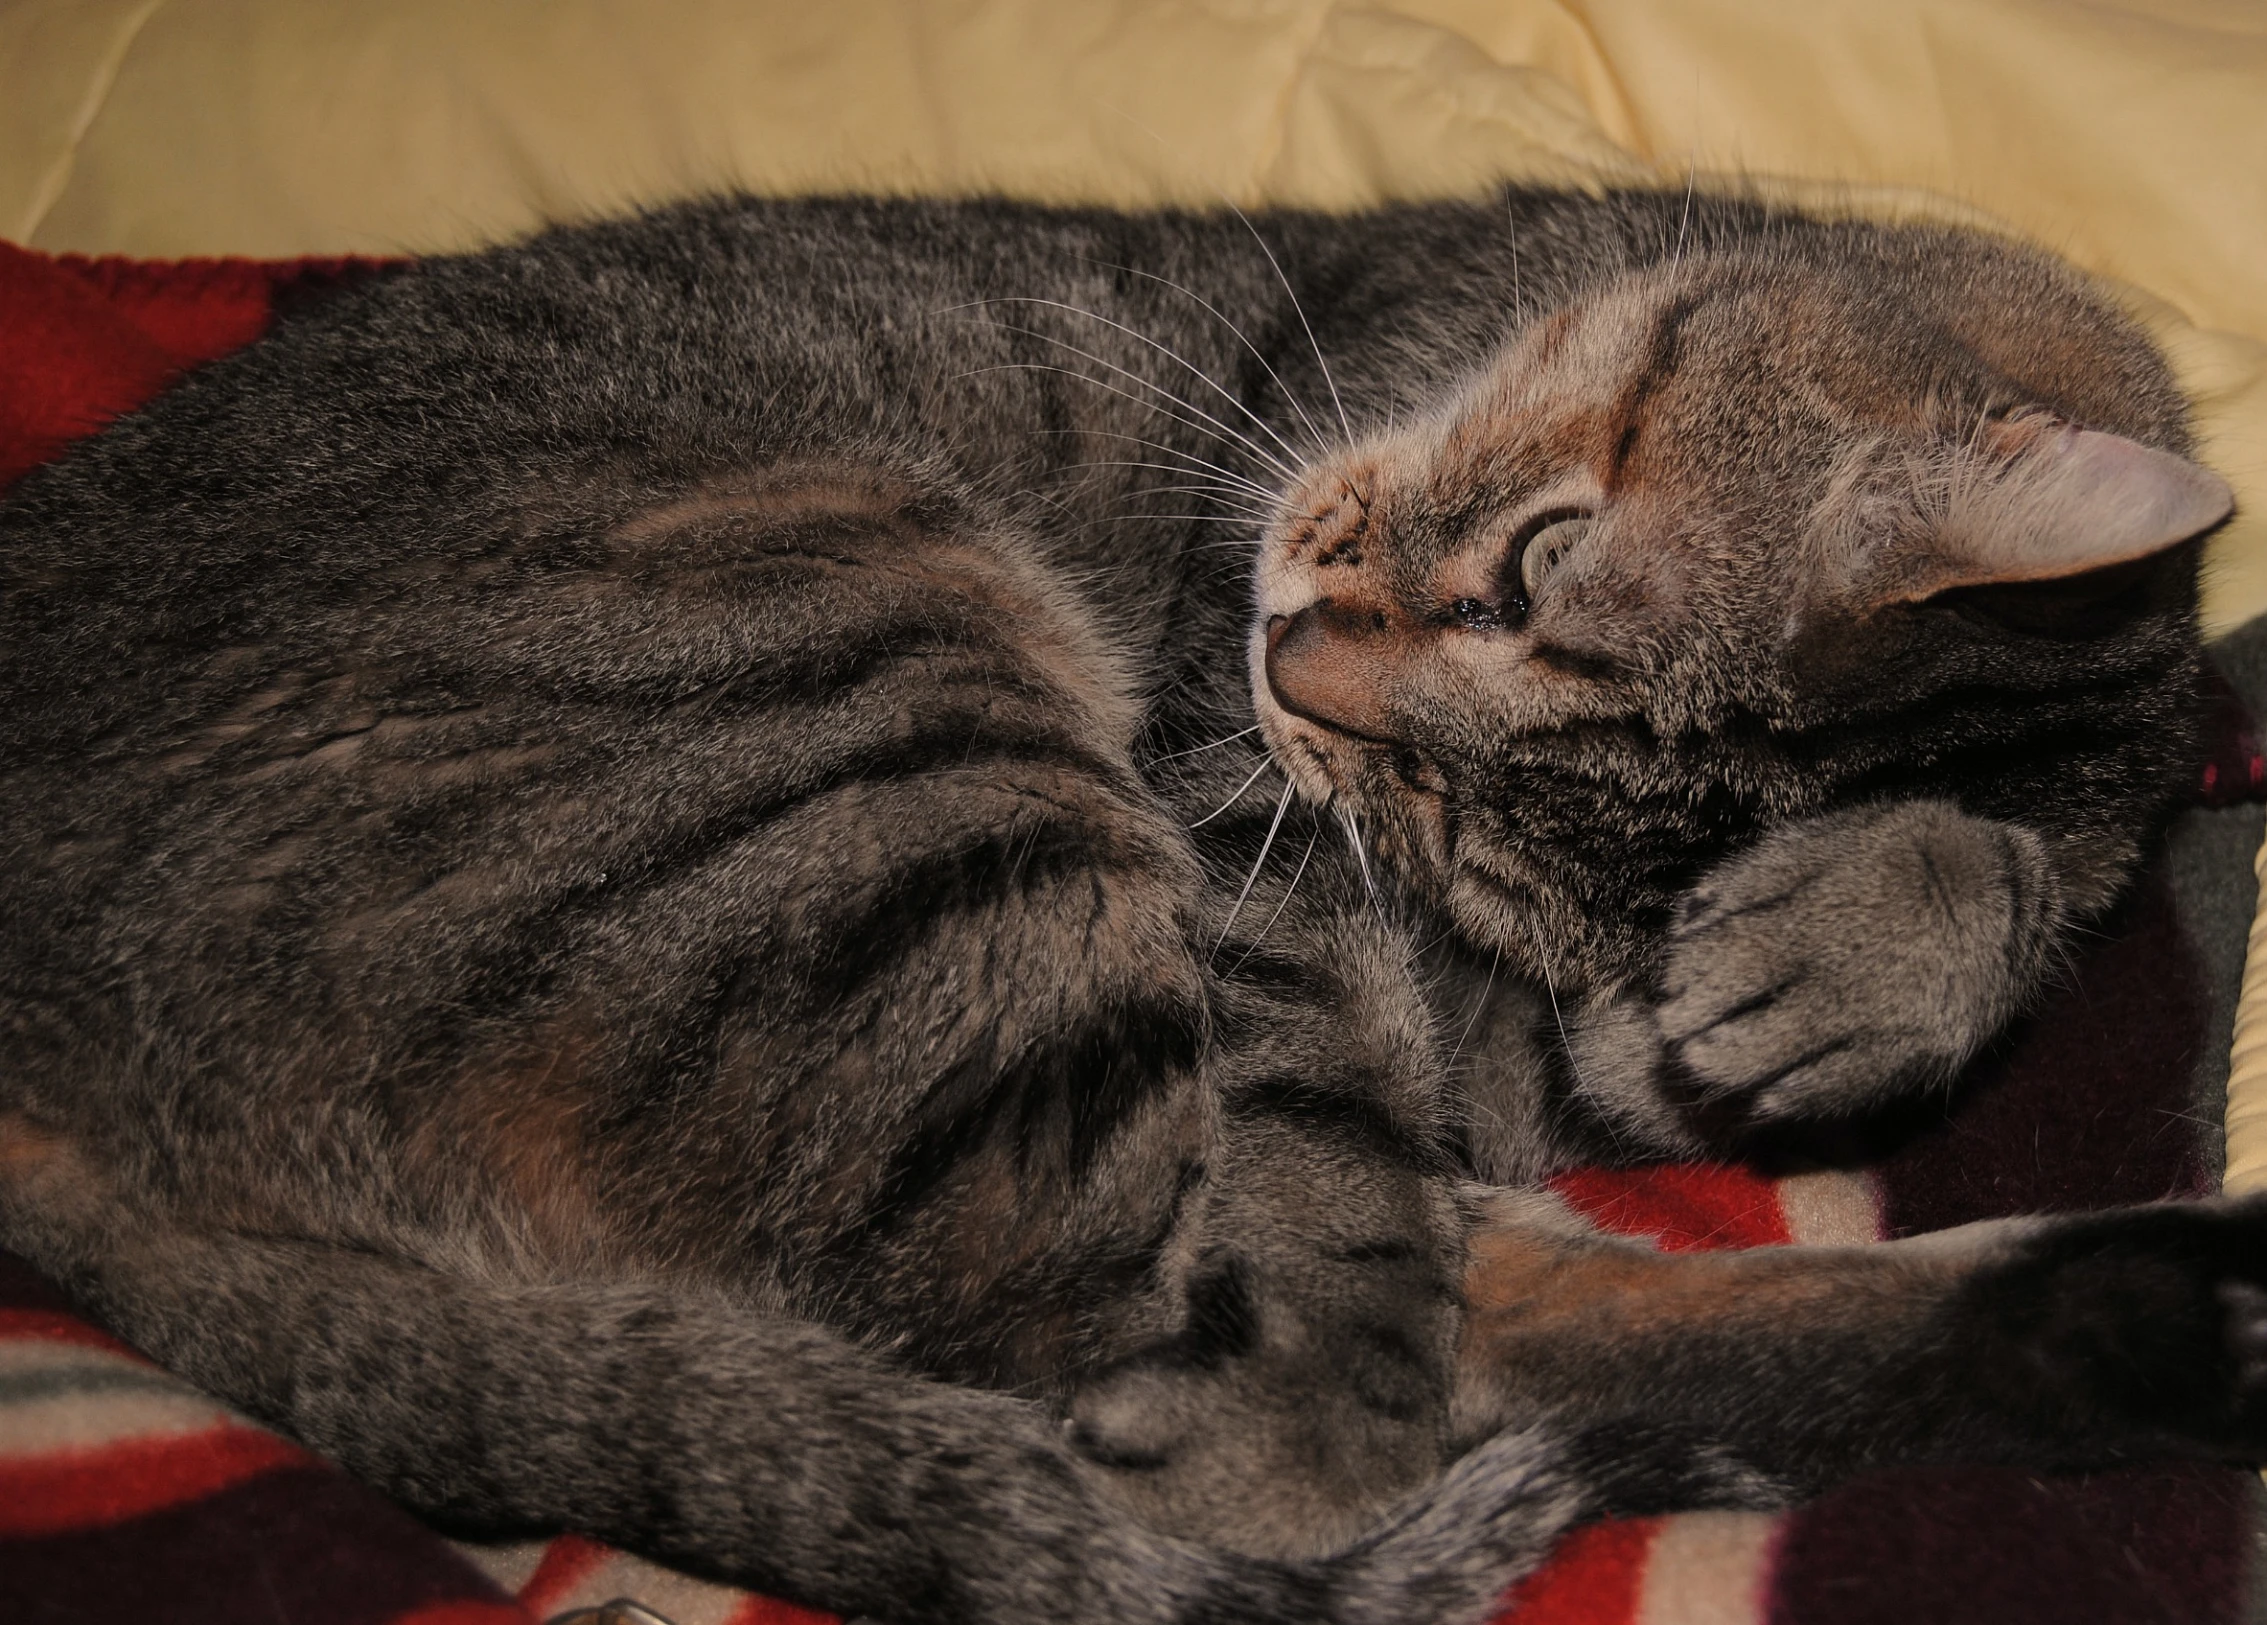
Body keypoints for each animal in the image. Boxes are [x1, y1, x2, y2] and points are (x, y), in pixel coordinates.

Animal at [0, 190, 2257, 1622]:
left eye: (1470, 826)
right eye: (1534, 560)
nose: (1301, 665)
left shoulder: (1491, 1007)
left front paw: (1891, 923)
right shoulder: (1230, 796)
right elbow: (1326, 1153)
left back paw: (2154, 1316)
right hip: (868, 727)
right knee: (1236, 1350)